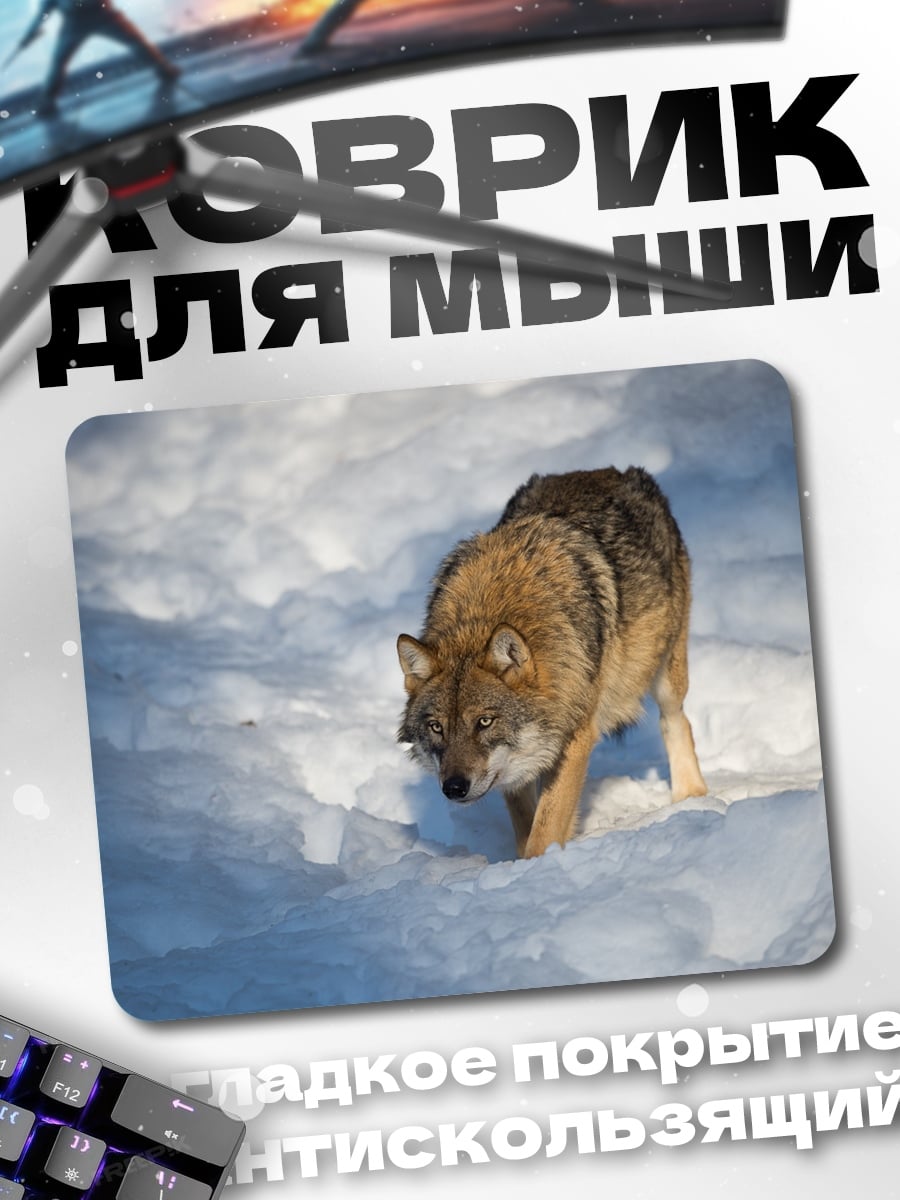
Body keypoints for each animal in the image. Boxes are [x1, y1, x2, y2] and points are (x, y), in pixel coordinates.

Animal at [396, 467, 707, 858]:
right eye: (437, 727)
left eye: (484, 722)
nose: (453, 787)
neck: (488, 610)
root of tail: (608, 470)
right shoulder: (514, 766)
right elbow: (526, 820)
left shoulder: (576, 735)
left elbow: (545, 827)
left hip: (665, 672)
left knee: (676, 720)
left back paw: (691, 797)